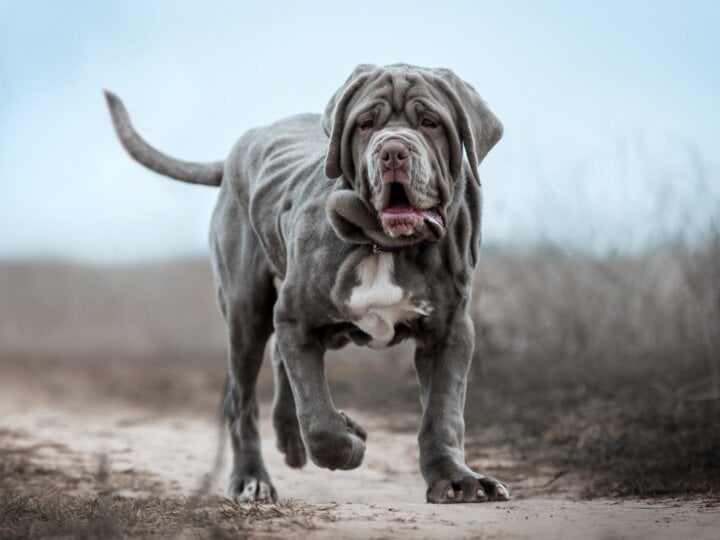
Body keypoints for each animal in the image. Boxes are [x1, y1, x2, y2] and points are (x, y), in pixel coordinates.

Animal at [105, 64, 512, 506]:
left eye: (430, 122)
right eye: (366, 124)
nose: (392, 152)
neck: (383, 244)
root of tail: (236, 150)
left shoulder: (450, 331)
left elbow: (443, 413)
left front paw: (457, 479)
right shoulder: (295, 318)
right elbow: (319, 420)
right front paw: (350, 440)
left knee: (281, 366)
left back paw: (288, 439)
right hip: (247, 312)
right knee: (242, 400)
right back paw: (251, 478)